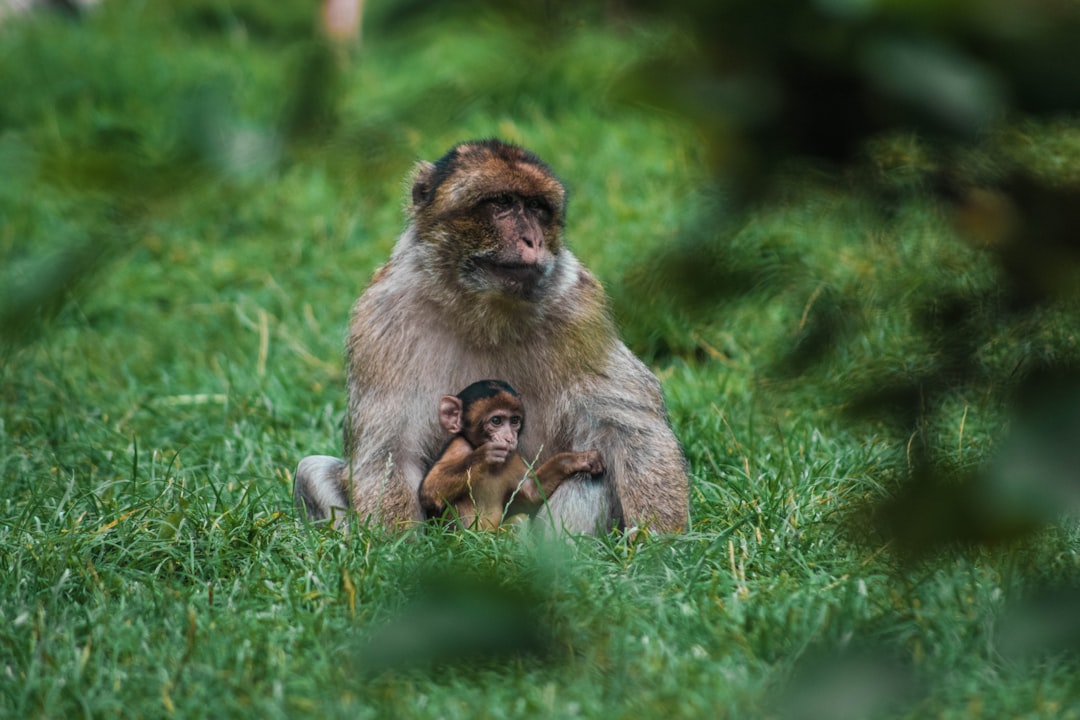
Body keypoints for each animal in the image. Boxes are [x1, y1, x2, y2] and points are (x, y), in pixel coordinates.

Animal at [419, 382, 609, 528]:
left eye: (514, 420)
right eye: (496, 421)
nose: (509, 438)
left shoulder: (512, 458)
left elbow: (533, 491)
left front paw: (579, 459)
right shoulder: (459, 447)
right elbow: (430, 490)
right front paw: (485, 455)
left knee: (520, 519)